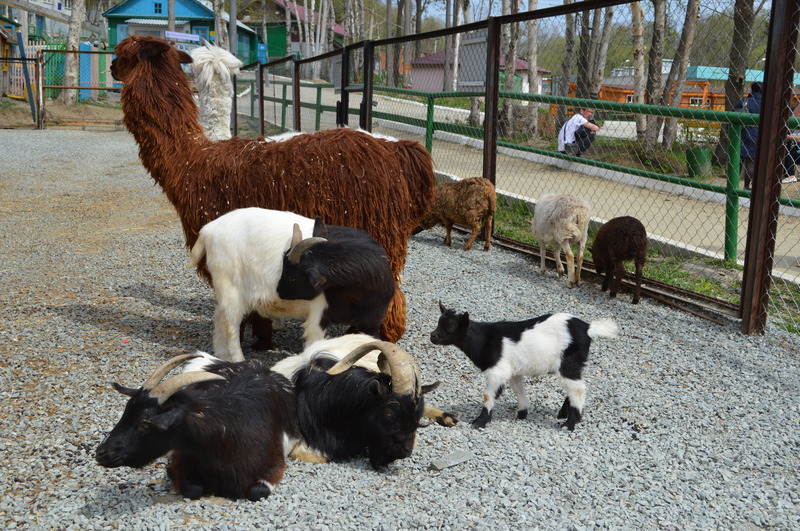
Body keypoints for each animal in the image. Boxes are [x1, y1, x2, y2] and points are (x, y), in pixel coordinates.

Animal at [96, 356, 300, 500]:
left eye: (145, 423)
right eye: (126, 412)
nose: (102, 453)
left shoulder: (274, 466)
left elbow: (257, 492)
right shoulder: (181, 458)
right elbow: (192, 488)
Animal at [186, 208, 326, 362]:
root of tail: (209, 229)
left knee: (219, 318)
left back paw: (222, 355)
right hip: (231, 288)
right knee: (230, 325)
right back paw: (238, 359)